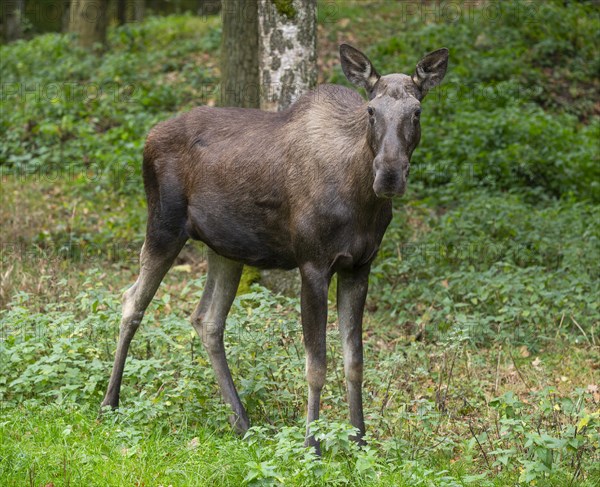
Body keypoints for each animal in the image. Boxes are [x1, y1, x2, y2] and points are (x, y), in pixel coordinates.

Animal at [103, 43, 448, 452]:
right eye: (371, 111)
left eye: (417, 111)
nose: (390, 175)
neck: (362, 200)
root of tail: (148, 137)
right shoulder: (312, 264)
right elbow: (316, 365)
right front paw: (312, 444)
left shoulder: (359, 266)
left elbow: (355, 361)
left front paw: (360, 442)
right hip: (163, 226)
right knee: (131, 301)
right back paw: (110, 403)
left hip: (225, 248)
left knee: (206, 319)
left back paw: (242, 421)